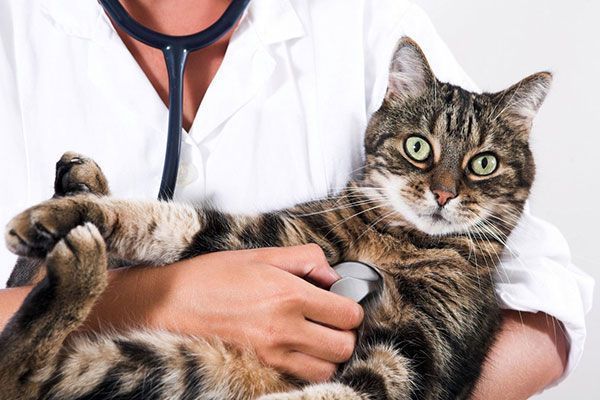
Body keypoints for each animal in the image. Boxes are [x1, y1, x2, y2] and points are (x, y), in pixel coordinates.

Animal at [1, 38, 552, 400]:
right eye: (418, 147)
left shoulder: (416, 360)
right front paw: (64, 215)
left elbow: (336, 394)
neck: (396, 243)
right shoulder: (277, 236)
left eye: (483, 163)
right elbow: (165, 220)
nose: (443, 193)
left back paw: (77, 263)